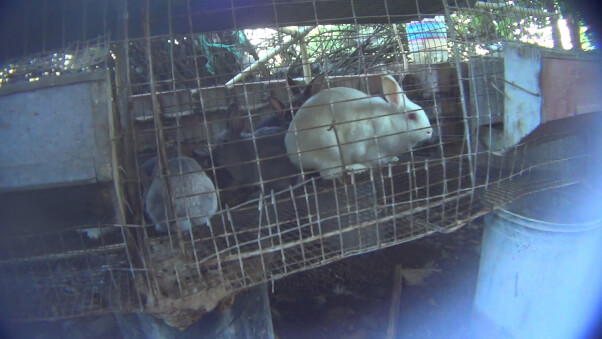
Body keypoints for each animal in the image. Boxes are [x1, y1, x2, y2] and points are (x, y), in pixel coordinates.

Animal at [284, 75, 428, 181]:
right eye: (412, 116)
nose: (429, 131)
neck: (391, 121)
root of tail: (292, 153)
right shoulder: (366, 147)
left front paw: (394, 159)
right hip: (329, 148)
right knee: (329, 173)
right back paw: (357, 168)